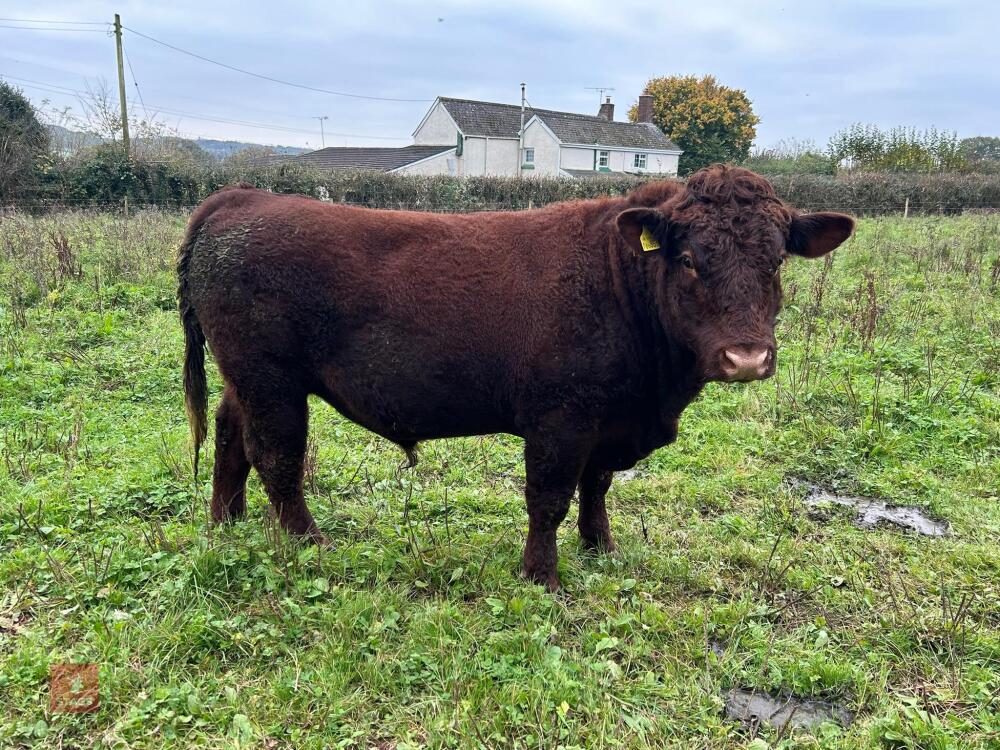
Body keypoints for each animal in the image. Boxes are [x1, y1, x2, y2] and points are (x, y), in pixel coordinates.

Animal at [177, 166, 854, 590]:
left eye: (776, 262)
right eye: (688, 259)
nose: (747, 357)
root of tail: (239, 197)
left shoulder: (608, 419)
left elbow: (597, 487)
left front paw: (601, 548)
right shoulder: (561, 417)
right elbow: (549, 497)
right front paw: (541, 576)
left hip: (245, 378)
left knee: (230, 436)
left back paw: (226, 521)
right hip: (271, 378)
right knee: (276, 456)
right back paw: (306, 541)